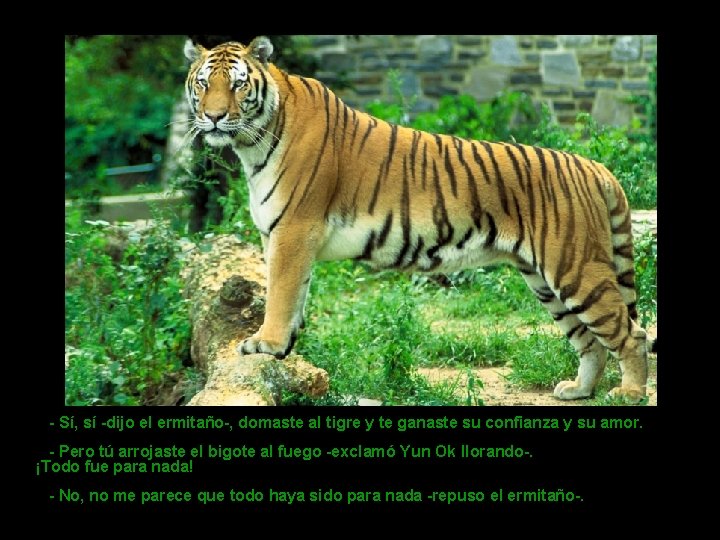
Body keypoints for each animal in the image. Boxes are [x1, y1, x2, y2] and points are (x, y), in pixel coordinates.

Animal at [183, 36, 650, 402]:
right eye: (203, 83)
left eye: (238, 83)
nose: (214, 116)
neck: (253, 143)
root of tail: (593, 166)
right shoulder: (282, 236)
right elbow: (295, 295)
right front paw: (284, 350)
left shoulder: (294, 231)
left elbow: (280, 294)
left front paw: (265, 343)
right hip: (544, 279)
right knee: (590, 341)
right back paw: (578, 390)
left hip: (576, 268)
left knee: (632, 333)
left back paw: (628, 393)